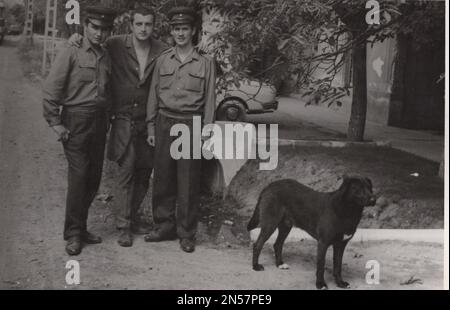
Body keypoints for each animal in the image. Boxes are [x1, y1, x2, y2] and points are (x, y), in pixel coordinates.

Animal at [248, 177, 378, 290]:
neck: (347, 210)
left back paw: (280, 264)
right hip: (270, 224)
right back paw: (256, 266)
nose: (373, 199)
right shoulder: (323, 243)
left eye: (369, 187)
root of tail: (269, 185)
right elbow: (321, 265)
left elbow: (338, 266)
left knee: (277, 244)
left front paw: (340, 283)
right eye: (358, 188)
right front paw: (320, 284)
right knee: (257, 245)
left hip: (285, 226)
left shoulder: (340, 245)